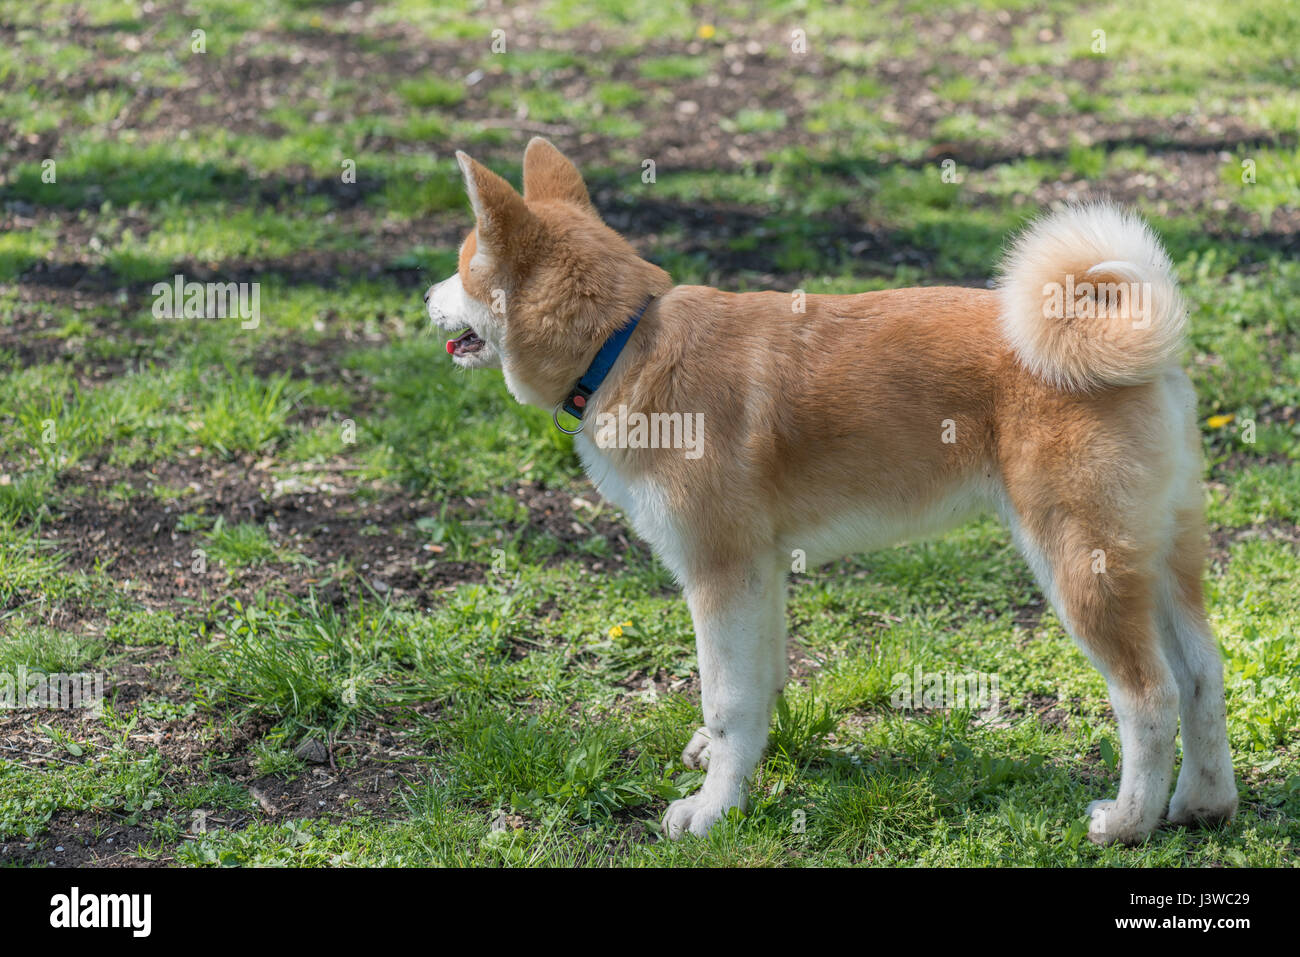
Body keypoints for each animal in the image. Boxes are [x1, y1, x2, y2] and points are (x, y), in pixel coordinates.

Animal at [426, 138, 1237, 842]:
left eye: (464, 266)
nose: (426, 300)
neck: (624, 342)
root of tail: (1147, 354)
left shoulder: (719, 572)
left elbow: (727, 700)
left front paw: (712, 810)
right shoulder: (759, 573)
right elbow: (758, 686)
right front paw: (737, 767)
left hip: (1079, 566)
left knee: (1150, 697)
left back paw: (1128, 821)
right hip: (1160, 560)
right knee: (1202, 674)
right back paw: (1204, 803)